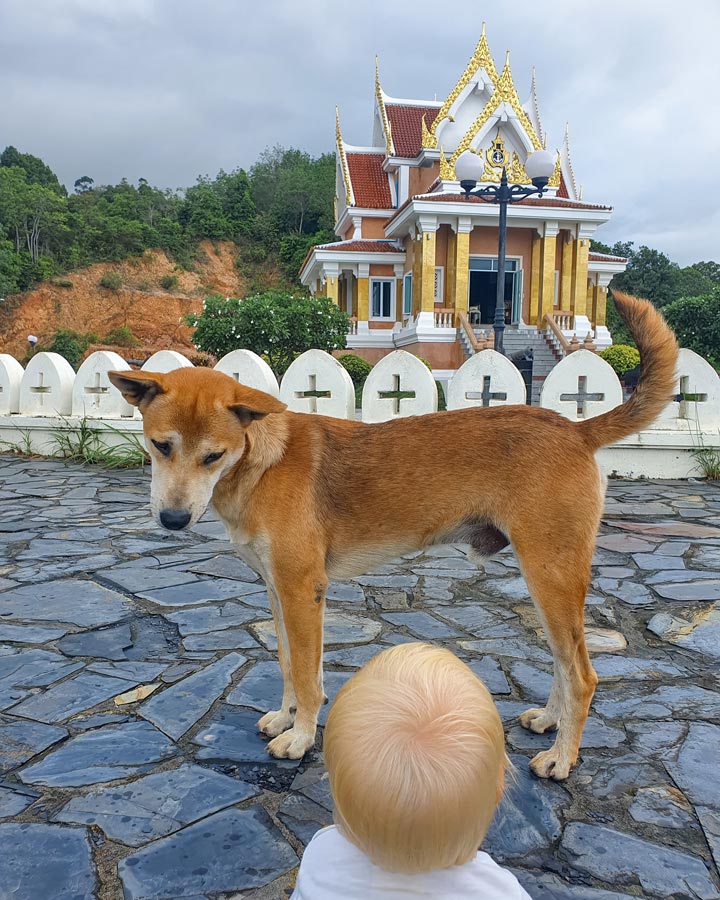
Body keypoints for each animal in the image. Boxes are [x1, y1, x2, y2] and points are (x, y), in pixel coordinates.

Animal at [108, 296, 680, 780]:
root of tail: (576, 428)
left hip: (551, 577)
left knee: (583, 675)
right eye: (160, 445)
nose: (173, 520)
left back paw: (562, 758)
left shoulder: (302, 591)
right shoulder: (277, 591)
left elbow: (310, 676)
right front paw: (285, 716)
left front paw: (301, 737)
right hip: (547, 585)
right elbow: (290, 665)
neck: (258, 464)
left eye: (213, 455)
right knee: (565, 664)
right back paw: (549, 721)